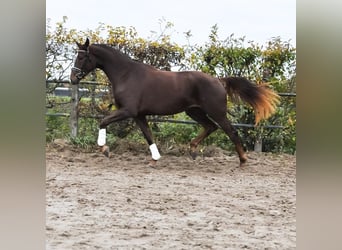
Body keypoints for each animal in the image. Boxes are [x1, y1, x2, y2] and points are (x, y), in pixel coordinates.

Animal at [69, 38, 278, 165]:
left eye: (82, 56)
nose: (72, 78)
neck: (126, 75)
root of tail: (219, 80)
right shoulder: (139, 115)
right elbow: (148, 135)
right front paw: (155, 157)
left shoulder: (128, 111)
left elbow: (103, 121)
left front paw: (104, 148)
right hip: (194, 111)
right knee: (210, 127)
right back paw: (193, 150)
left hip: (216, 111)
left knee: (230, 131)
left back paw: (243, 159)